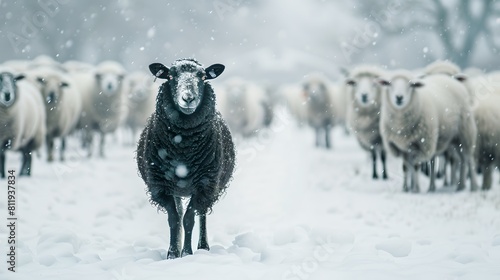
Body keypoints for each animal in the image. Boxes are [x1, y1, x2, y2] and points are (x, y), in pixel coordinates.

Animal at [136, 58, 235, 260]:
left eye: (203, 76)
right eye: (171, 76)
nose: (188, 98)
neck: (183, 147)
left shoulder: (204, 185)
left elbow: (189, 219)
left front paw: (187, 253)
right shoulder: (161, 186)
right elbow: (174, 218)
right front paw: (173, 254)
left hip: (208, 187)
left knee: (202, 213)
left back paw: (203, 246)